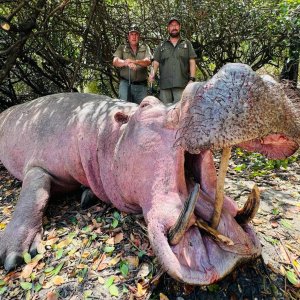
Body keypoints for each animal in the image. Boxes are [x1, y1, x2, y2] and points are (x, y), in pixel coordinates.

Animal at [0, 62, 298, 284]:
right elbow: (34, 195)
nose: (241, 71)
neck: (109, 136)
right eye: (146, 105)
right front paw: (13, 256)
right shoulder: (40, 164)